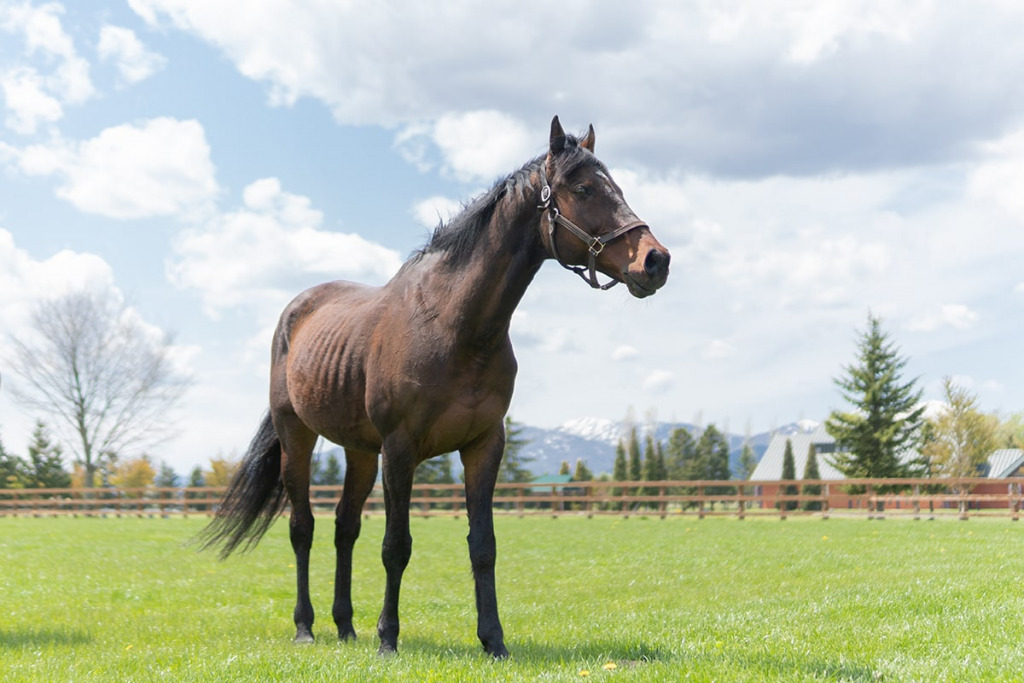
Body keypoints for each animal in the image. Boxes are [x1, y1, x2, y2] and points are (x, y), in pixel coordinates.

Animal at [198, 116, 671, 658]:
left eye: (618, 187)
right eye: (585, 189)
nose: (655, 260)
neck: (453, 325)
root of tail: (296, 312)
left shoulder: (483, 446)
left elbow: (483, 547)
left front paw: (494, 640)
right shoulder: (401, 449)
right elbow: (396, 546)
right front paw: (388, 638)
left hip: (360, 451)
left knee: (344, 528)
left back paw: (346, 626)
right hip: (297, 435)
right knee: (303, 527)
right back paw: (307, 627)